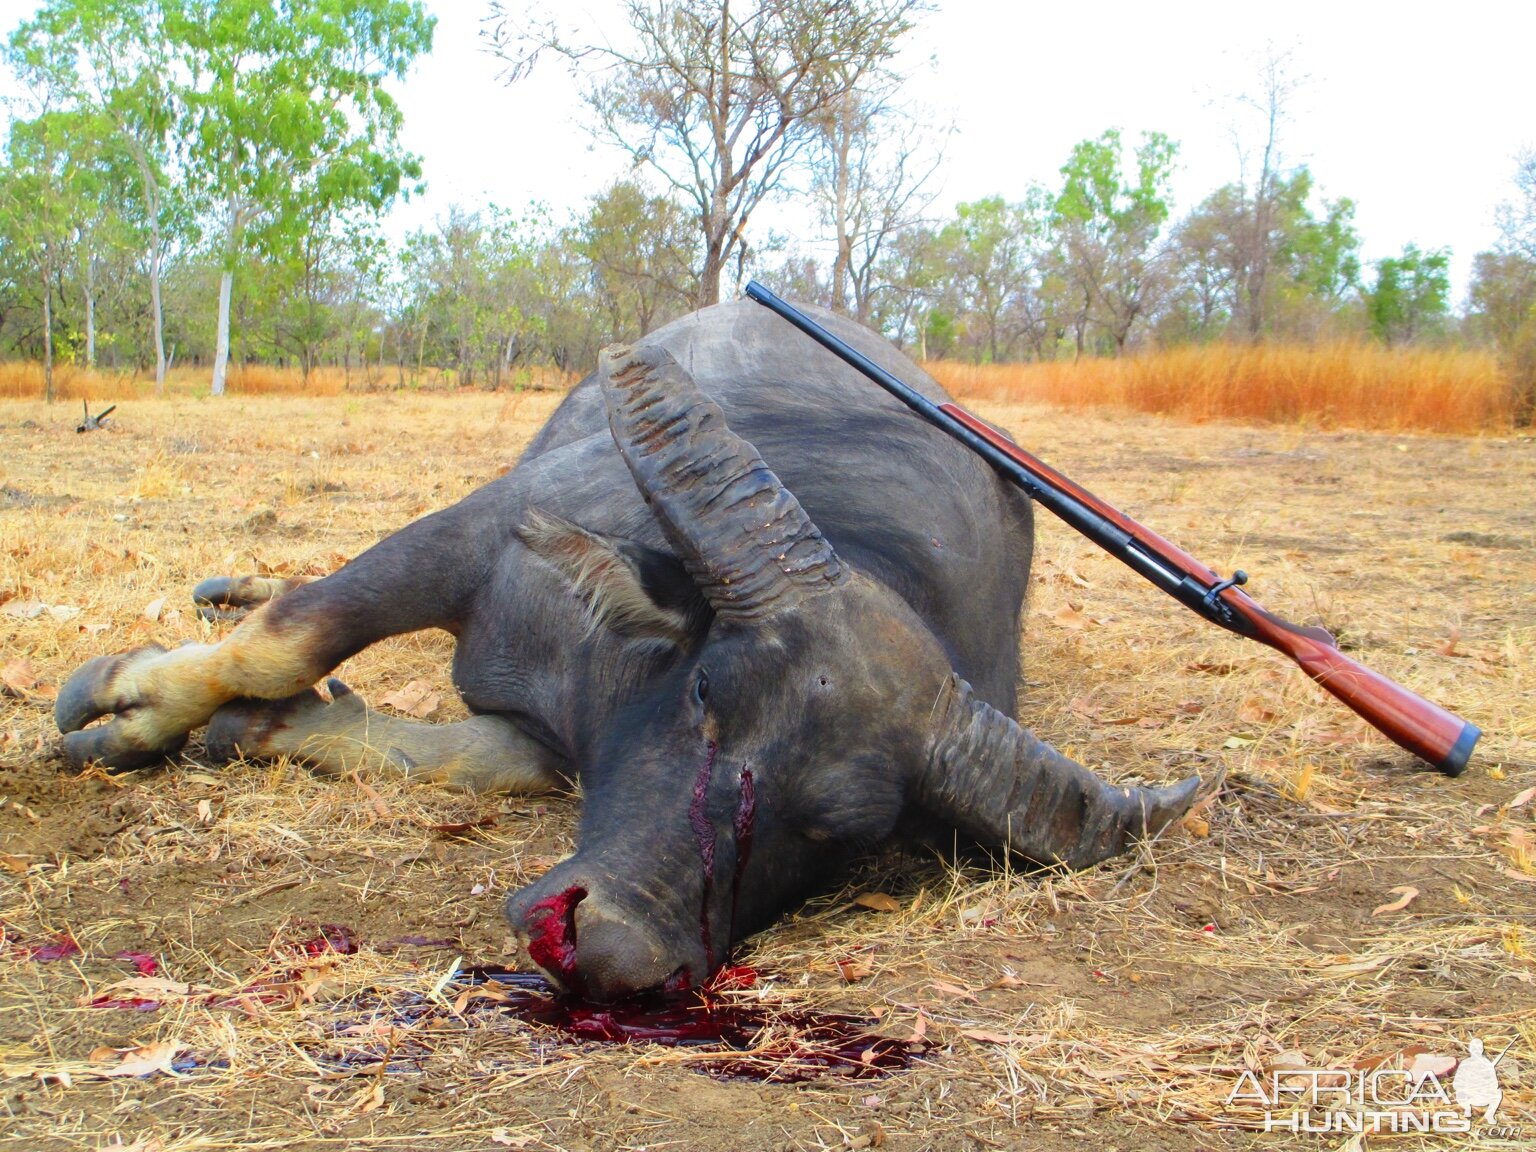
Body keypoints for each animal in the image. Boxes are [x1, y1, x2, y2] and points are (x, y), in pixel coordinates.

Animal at [56, 297, 1198, 1001]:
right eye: (705, 691)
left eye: (846, 831)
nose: (608, 947)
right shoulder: (469, 534)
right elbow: (289, 639)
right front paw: (126, 707)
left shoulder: (539, 743)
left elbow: (408, 746)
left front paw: (266, 728)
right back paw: (224, 592)